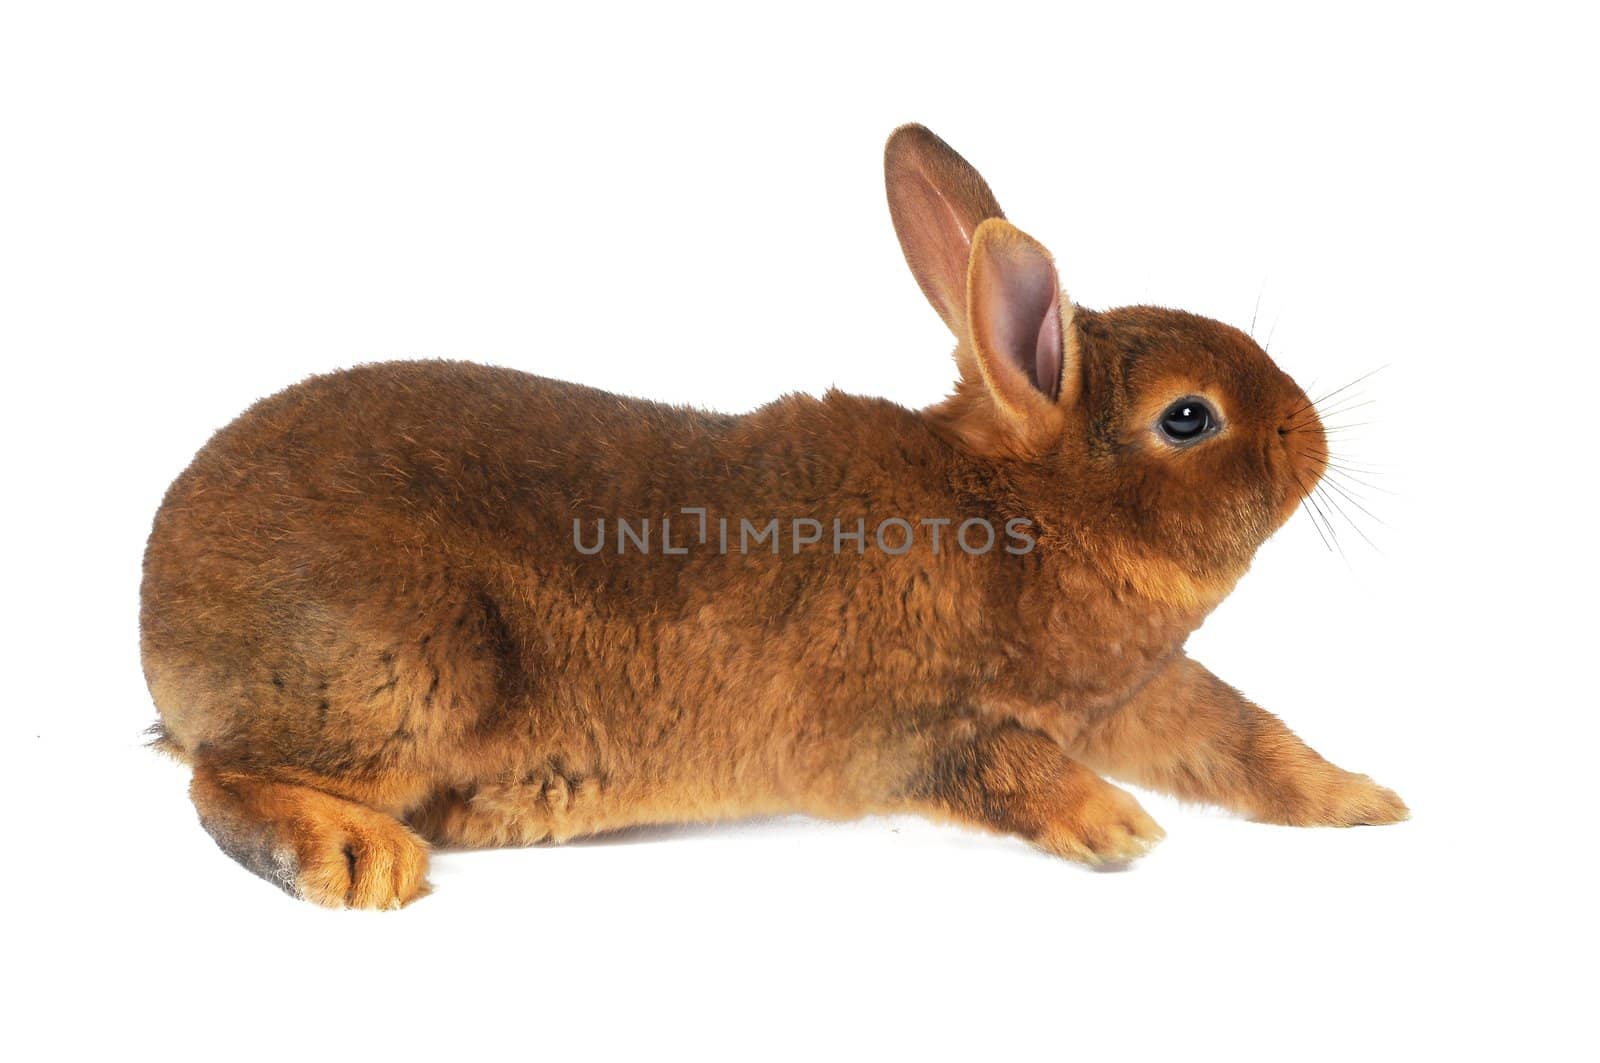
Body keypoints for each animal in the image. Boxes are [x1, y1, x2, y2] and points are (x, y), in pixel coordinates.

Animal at [144, 122, 1408, 902]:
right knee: (222, 778)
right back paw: (357, 859)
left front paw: (1364, 804)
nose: (1311, 437)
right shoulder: (900, 726)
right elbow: (999, 761)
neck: (1020, 512)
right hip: (402, 672)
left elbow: (1240, 736)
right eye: (1188, 418)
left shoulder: (1130, 695)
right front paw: (1114, 828)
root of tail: (155, 621)